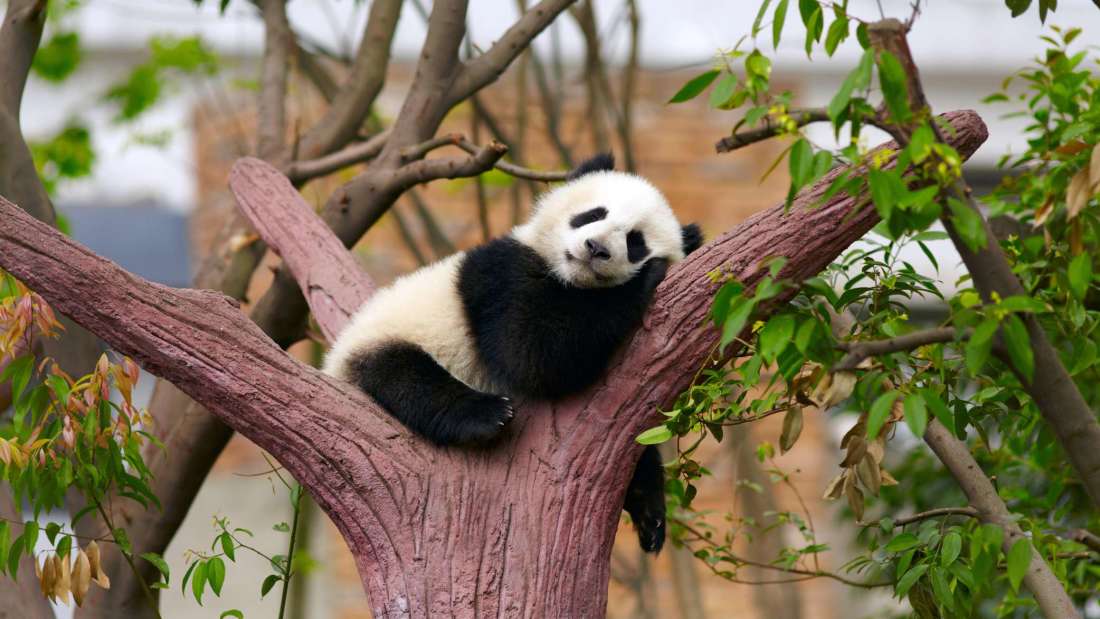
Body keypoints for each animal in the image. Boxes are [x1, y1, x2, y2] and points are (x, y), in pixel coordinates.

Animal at [323, 154, 702, 552]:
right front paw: (646, 279)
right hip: (386, 339)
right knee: (406, 377)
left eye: (635, 241)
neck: (570, 279)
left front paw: (649, 510)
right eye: (593, 214)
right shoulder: (501, 274)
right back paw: (485, 415)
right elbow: (531, 353)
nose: (596, 248)